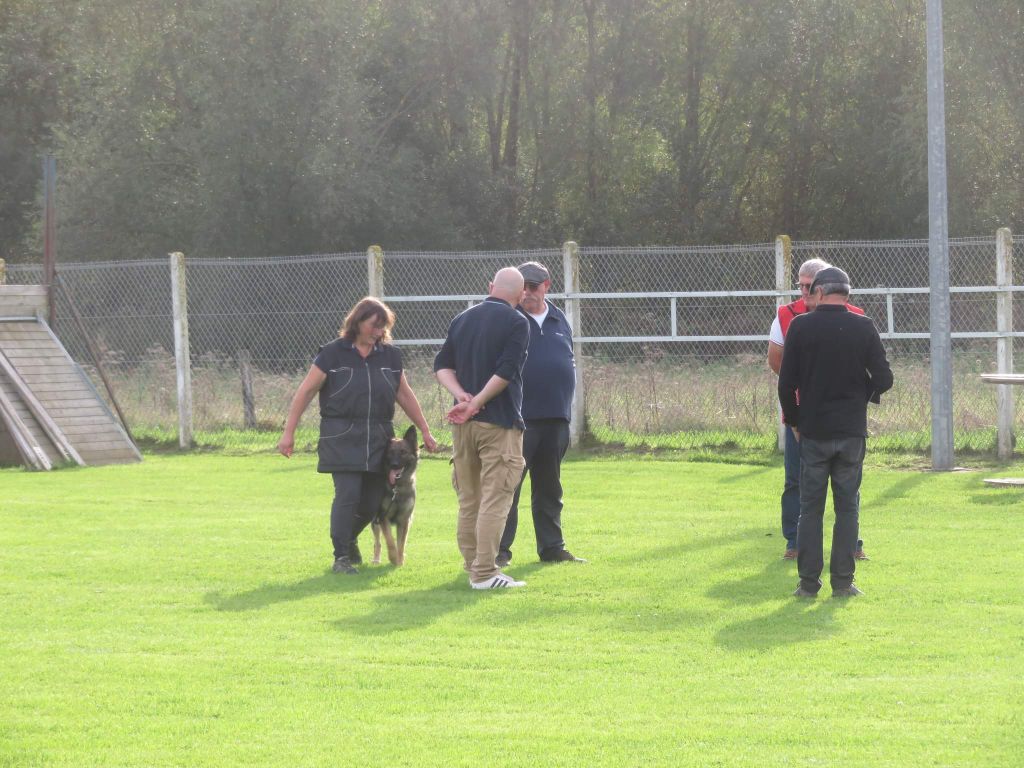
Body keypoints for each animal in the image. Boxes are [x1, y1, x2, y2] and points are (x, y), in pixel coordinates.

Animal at [372, 428, 419, 565]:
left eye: (403, 452)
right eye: (390, 452)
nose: (394, 464)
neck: (397, 488)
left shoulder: (404, 520)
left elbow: (401, 543)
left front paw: (400, 560)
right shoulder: (383, 518)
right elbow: (390, 540)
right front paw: (393, 558)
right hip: (375, 522)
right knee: (377, 543)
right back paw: (376, 559)